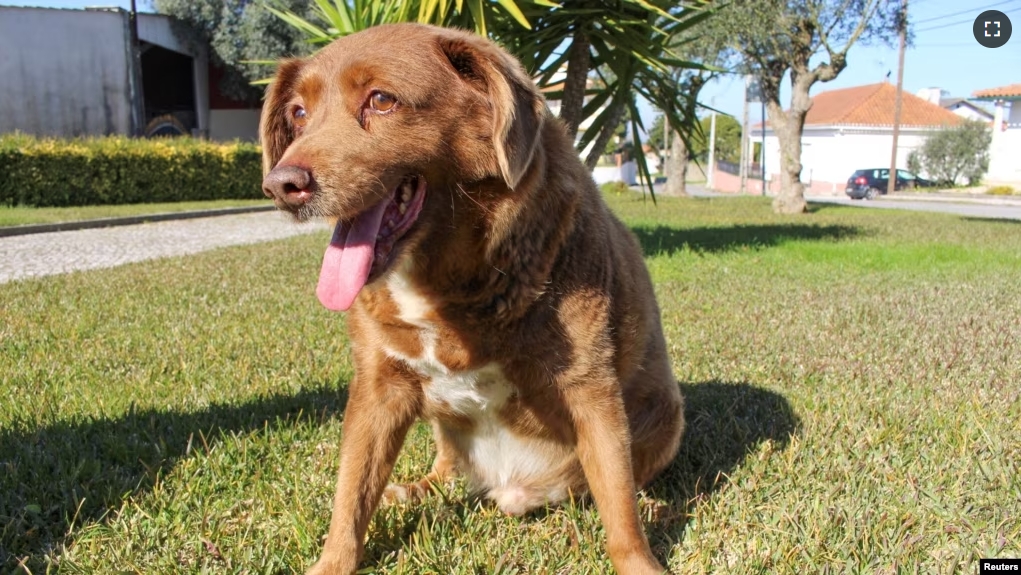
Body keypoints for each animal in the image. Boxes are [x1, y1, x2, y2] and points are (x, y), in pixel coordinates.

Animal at [257, 23, 686, 575]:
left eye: (381, 100)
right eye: (298, 114)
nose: (281, 185)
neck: (445, 281)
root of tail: (508, 485)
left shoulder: (590, 388)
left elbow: (619, 507)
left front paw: (641, 561)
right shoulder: (378, 387)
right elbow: (350, 496)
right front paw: (332, 562)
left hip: (666, 416)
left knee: (614, 484)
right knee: (444, 469)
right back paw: (414, 489)